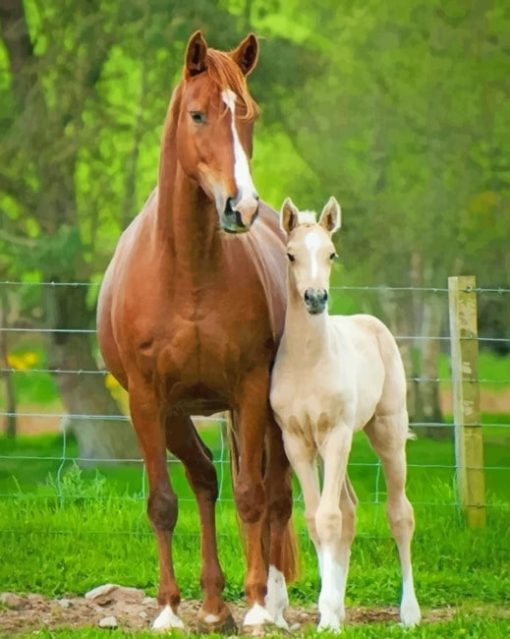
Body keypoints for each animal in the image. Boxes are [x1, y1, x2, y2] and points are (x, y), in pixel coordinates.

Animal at [96, 32, 296, 632]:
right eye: (198, 114)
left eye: (248, 114)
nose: (241, 207)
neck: (187, 271)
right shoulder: (146, 400)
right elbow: (164, 501)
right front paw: (167, 612)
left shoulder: (251, 391)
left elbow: (252, 497)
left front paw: (257, 608)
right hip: (176, 415)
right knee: (205, 478)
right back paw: (210, 607)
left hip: (270, 415)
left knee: (277, 496)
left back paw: (273, 605)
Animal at [270, 198, 422, 632]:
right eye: (291, 254)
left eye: (331, 254)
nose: (315, 298)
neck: (308, 362)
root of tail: (371, 323)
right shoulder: (297, 442)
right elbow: (315, 519)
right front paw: (329, 610)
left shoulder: (337, 435)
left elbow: (329, 519)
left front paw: (329, 617)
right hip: (327, 448)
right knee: (350, 510)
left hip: (387, 433)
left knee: (400, 514)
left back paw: (410, 613)